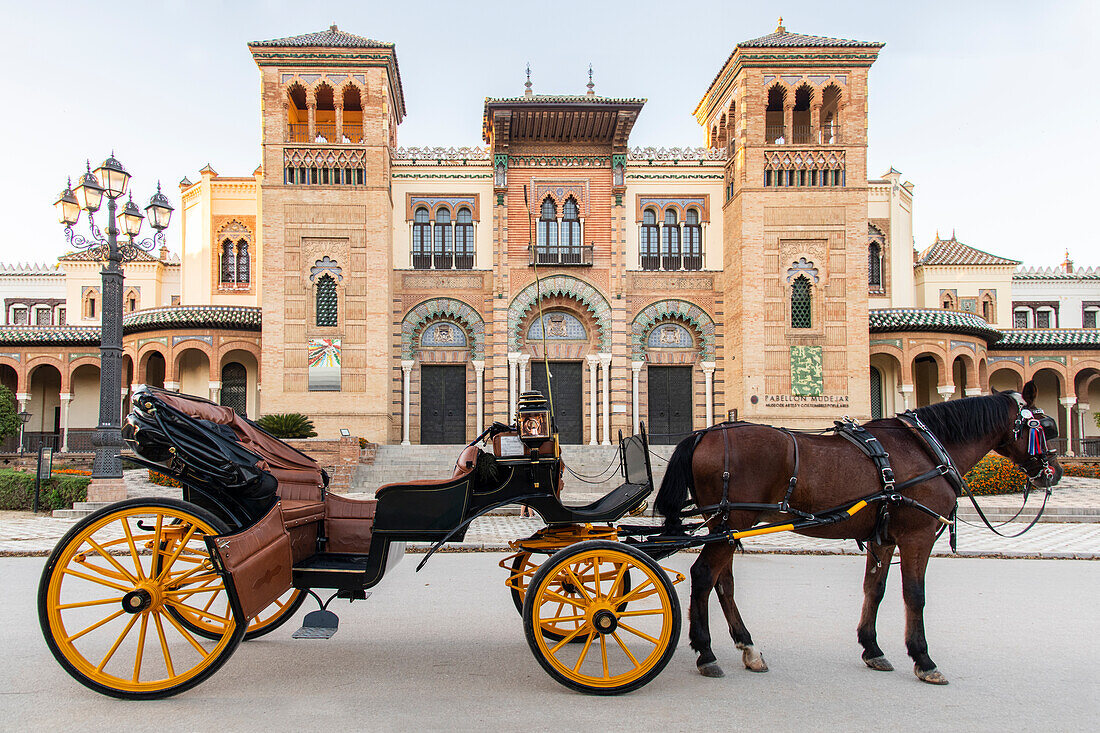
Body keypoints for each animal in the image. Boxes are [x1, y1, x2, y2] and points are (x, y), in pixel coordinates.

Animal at [655, 378, 1060, 682]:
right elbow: (915, 594)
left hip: (726, 525)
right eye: (1044, 427)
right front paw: (923, 659)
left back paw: (748, 647)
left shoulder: (884, 535)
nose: (1053, 473)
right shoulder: (918, 534)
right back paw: (706, 653)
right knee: (703, 575)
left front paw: (872, 648)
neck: (926, 447)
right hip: (733, 521)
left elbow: (874, 589)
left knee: (723, 582)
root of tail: (706, 433)